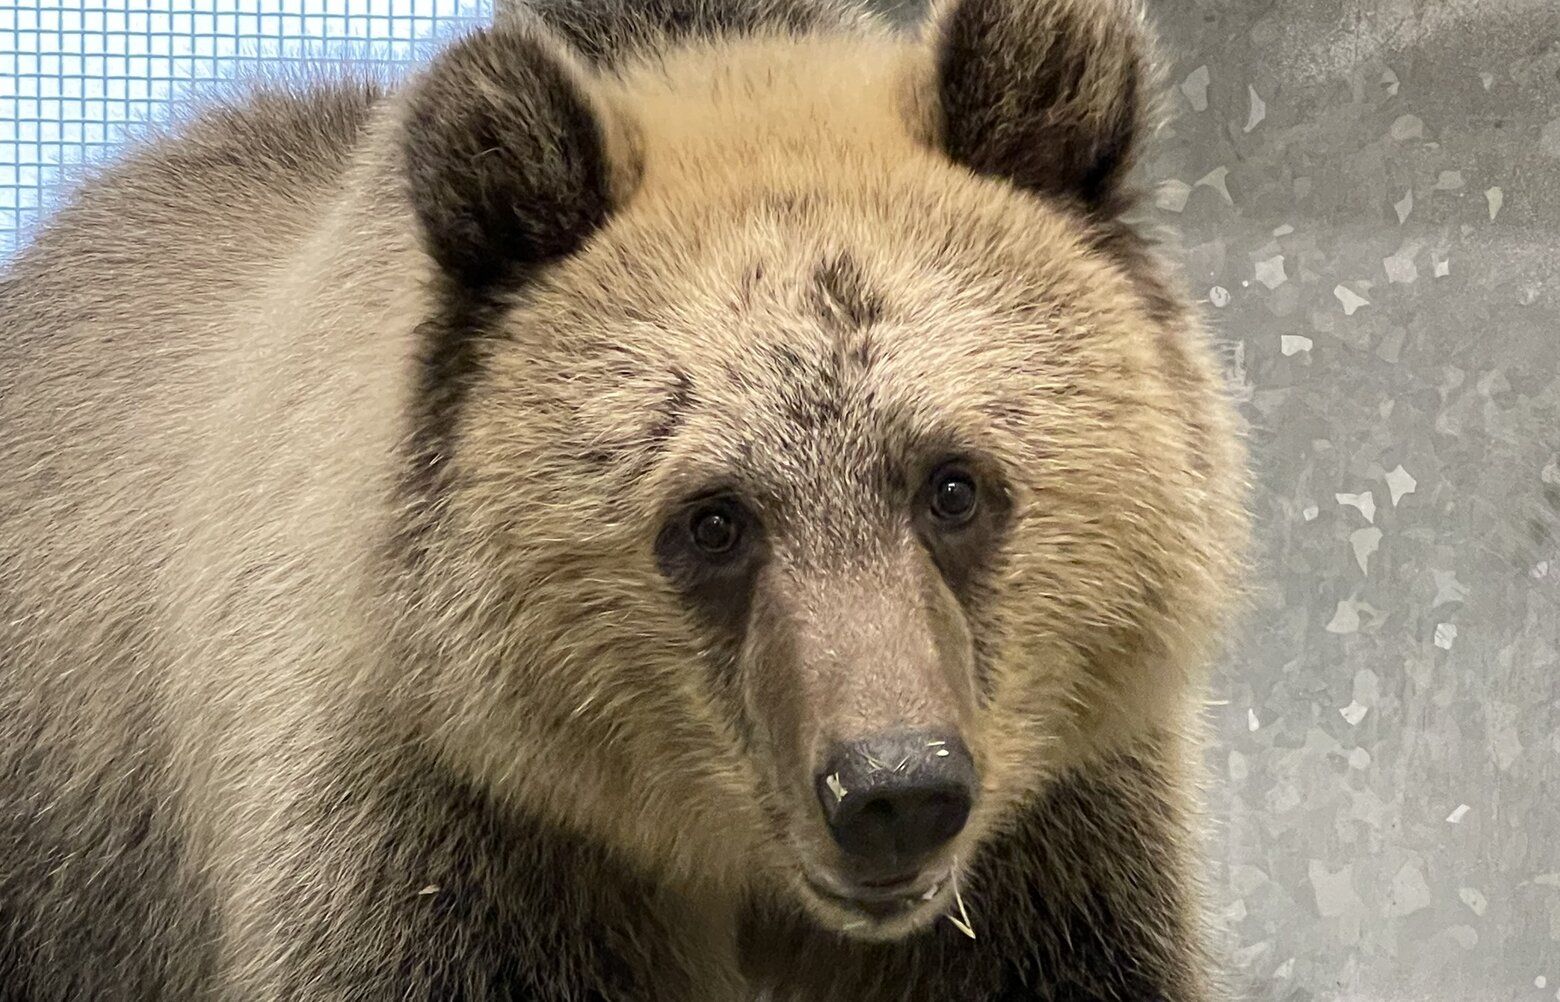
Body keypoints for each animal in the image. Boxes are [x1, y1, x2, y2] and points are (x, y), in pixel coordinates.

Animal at [0, 0, 1248, 998]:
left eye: (953, 483)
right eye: (713, 518)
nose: (894, 788)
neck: (728, 870)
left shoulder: (1058, 852)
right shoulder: (449, 836)